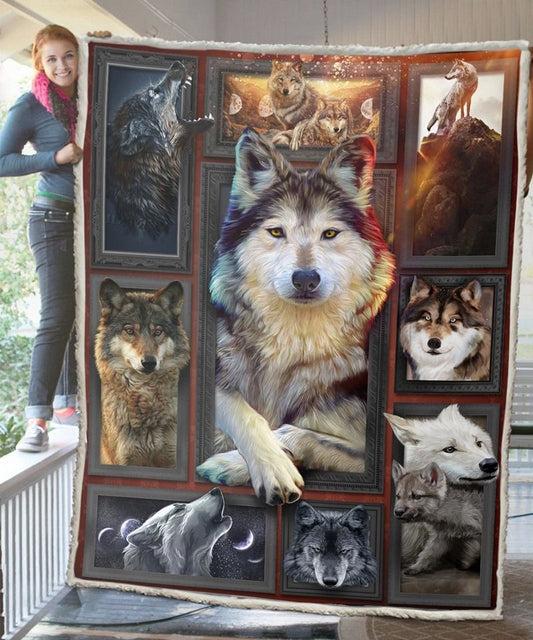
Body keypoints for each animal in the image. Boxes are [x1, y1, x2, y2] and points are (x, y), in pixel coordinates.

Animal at [196, 129, 395, 505]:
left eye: (329, 234)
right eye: (277, 232)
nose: (305, 279)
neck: (293, 343)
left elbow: (300, 432)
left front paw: (237, 463)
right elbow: (249, 415)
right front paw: (272, 467)